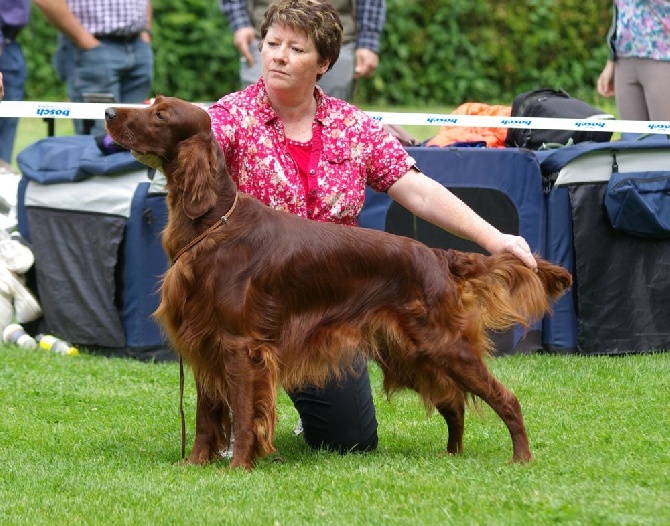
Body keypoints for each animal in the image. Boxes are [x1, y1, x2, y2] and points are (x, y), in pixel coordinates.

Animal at [105, 97, 572, 472]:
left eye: (160, 114)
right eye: (152, 104)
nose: (108, 112)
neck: (213, 222)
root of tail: (436, 255)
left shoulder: (239, 346)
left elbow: (241, 411)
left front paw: (238, 467)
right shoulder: (203, 342)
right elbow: (205, 416)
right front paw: (195, 465)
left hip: (442, 345)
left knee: (504, 398)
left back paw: (521, 457)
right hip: (409, 352)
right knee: (452, 401)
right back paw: (452, 455)